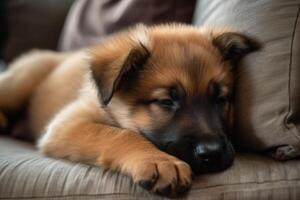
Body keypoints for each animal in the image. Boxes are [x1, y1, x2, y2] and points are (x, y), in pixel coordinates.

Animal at [0, 23, 258, 197]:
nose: (212, 153)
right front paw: (160, 161)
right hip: (22, 79)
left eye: (220, 99)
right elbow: (120, 134)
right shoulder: (67, 123)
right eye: (166, 101)